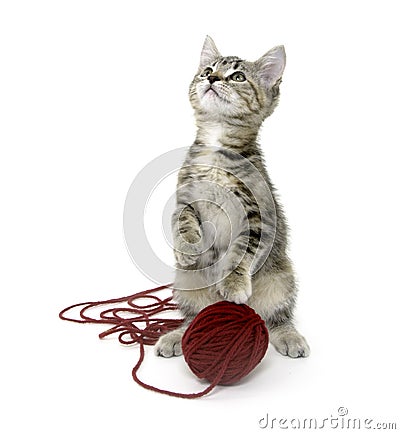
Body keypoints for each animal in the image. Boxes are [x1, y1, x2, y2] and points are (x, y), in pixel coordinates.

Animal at [154, 34, 310, 360]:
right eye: (207, 70)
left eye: (238, 77)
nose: (212, 78)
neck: (216, 147)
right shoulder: (185, 198)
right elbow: (183, 221)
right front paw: (188, 247)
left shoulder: (257, 213)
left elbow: (242, 251)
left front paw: (235, 283)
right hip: (186, 283)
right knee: (194, 316)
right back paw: (177, 335)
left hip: (282, 278)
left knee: (277, 317)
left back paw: (288, 335)